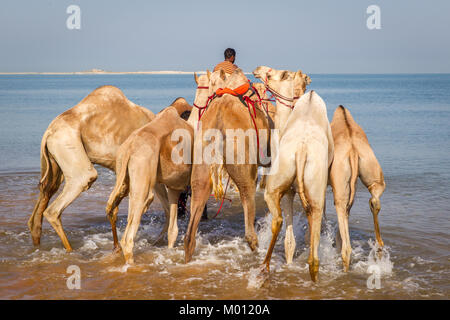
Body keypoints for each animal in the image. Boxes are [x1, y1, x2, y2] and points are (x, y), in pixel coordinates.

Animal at [27, 86, 172, 251]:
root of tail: (48, 132)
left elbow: (114, 207)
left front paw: (116, 247)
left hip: (53, 164)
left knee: (44, 197)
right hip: (69, 147)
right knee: (56, 207)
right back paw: (71, 251)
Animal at [105, 97, 193, 262]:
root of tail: (129, 148)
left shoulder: (173, 187)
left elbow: (172, 230)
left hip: (126, 177)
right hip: (143, 180)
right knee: (128, 239)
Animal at [328, 106, 384, 272]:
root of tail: (353, 150)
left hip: (340, 181)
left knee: (346, 248)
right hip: (372, 170)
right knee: (374, 199)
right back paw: (379, 249)